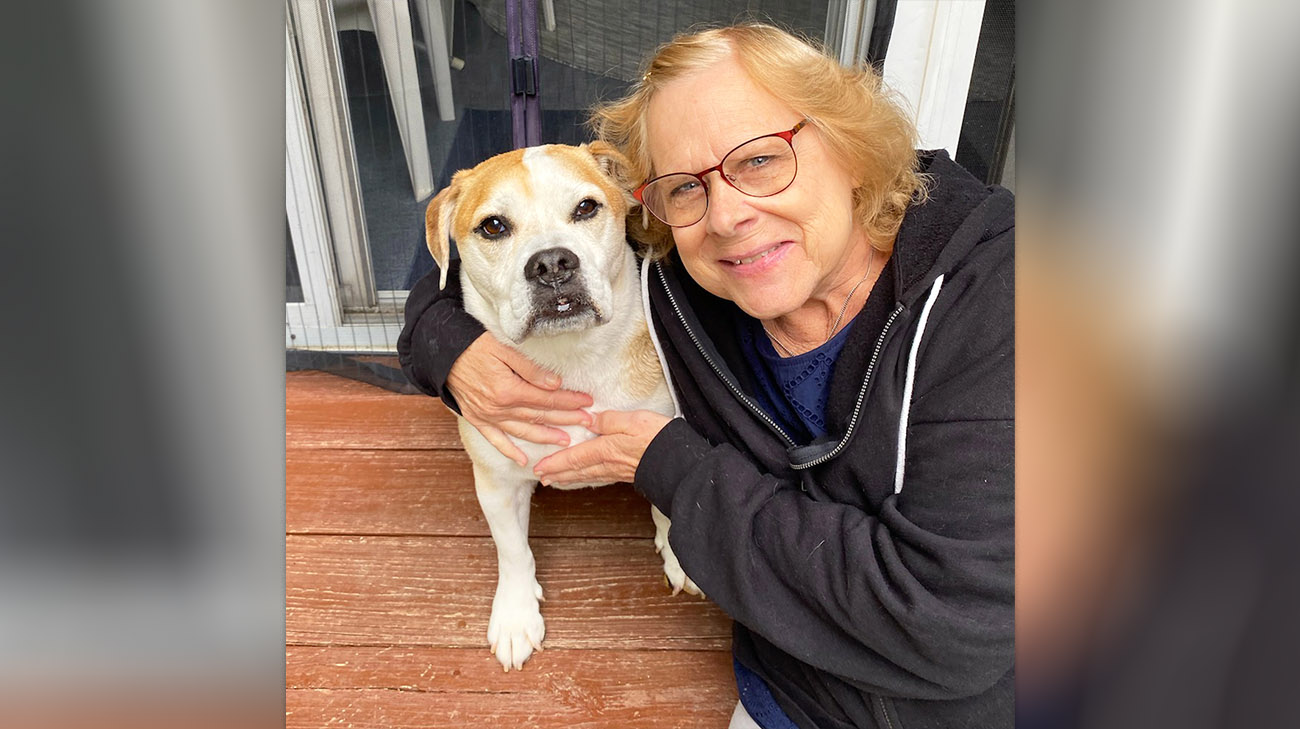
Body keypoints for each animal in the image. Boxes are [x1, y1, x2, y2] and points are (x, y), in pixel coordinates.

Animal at [421, 142, 696, 670]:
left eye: (586, 208)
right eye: (493, 226)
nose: (551, 264)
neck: (571, 358)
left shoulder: (660, 435)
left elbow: (670, 504)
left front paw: (678, 556)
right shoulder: (497, 480)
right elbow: (512, 551)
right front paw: (515, 616)